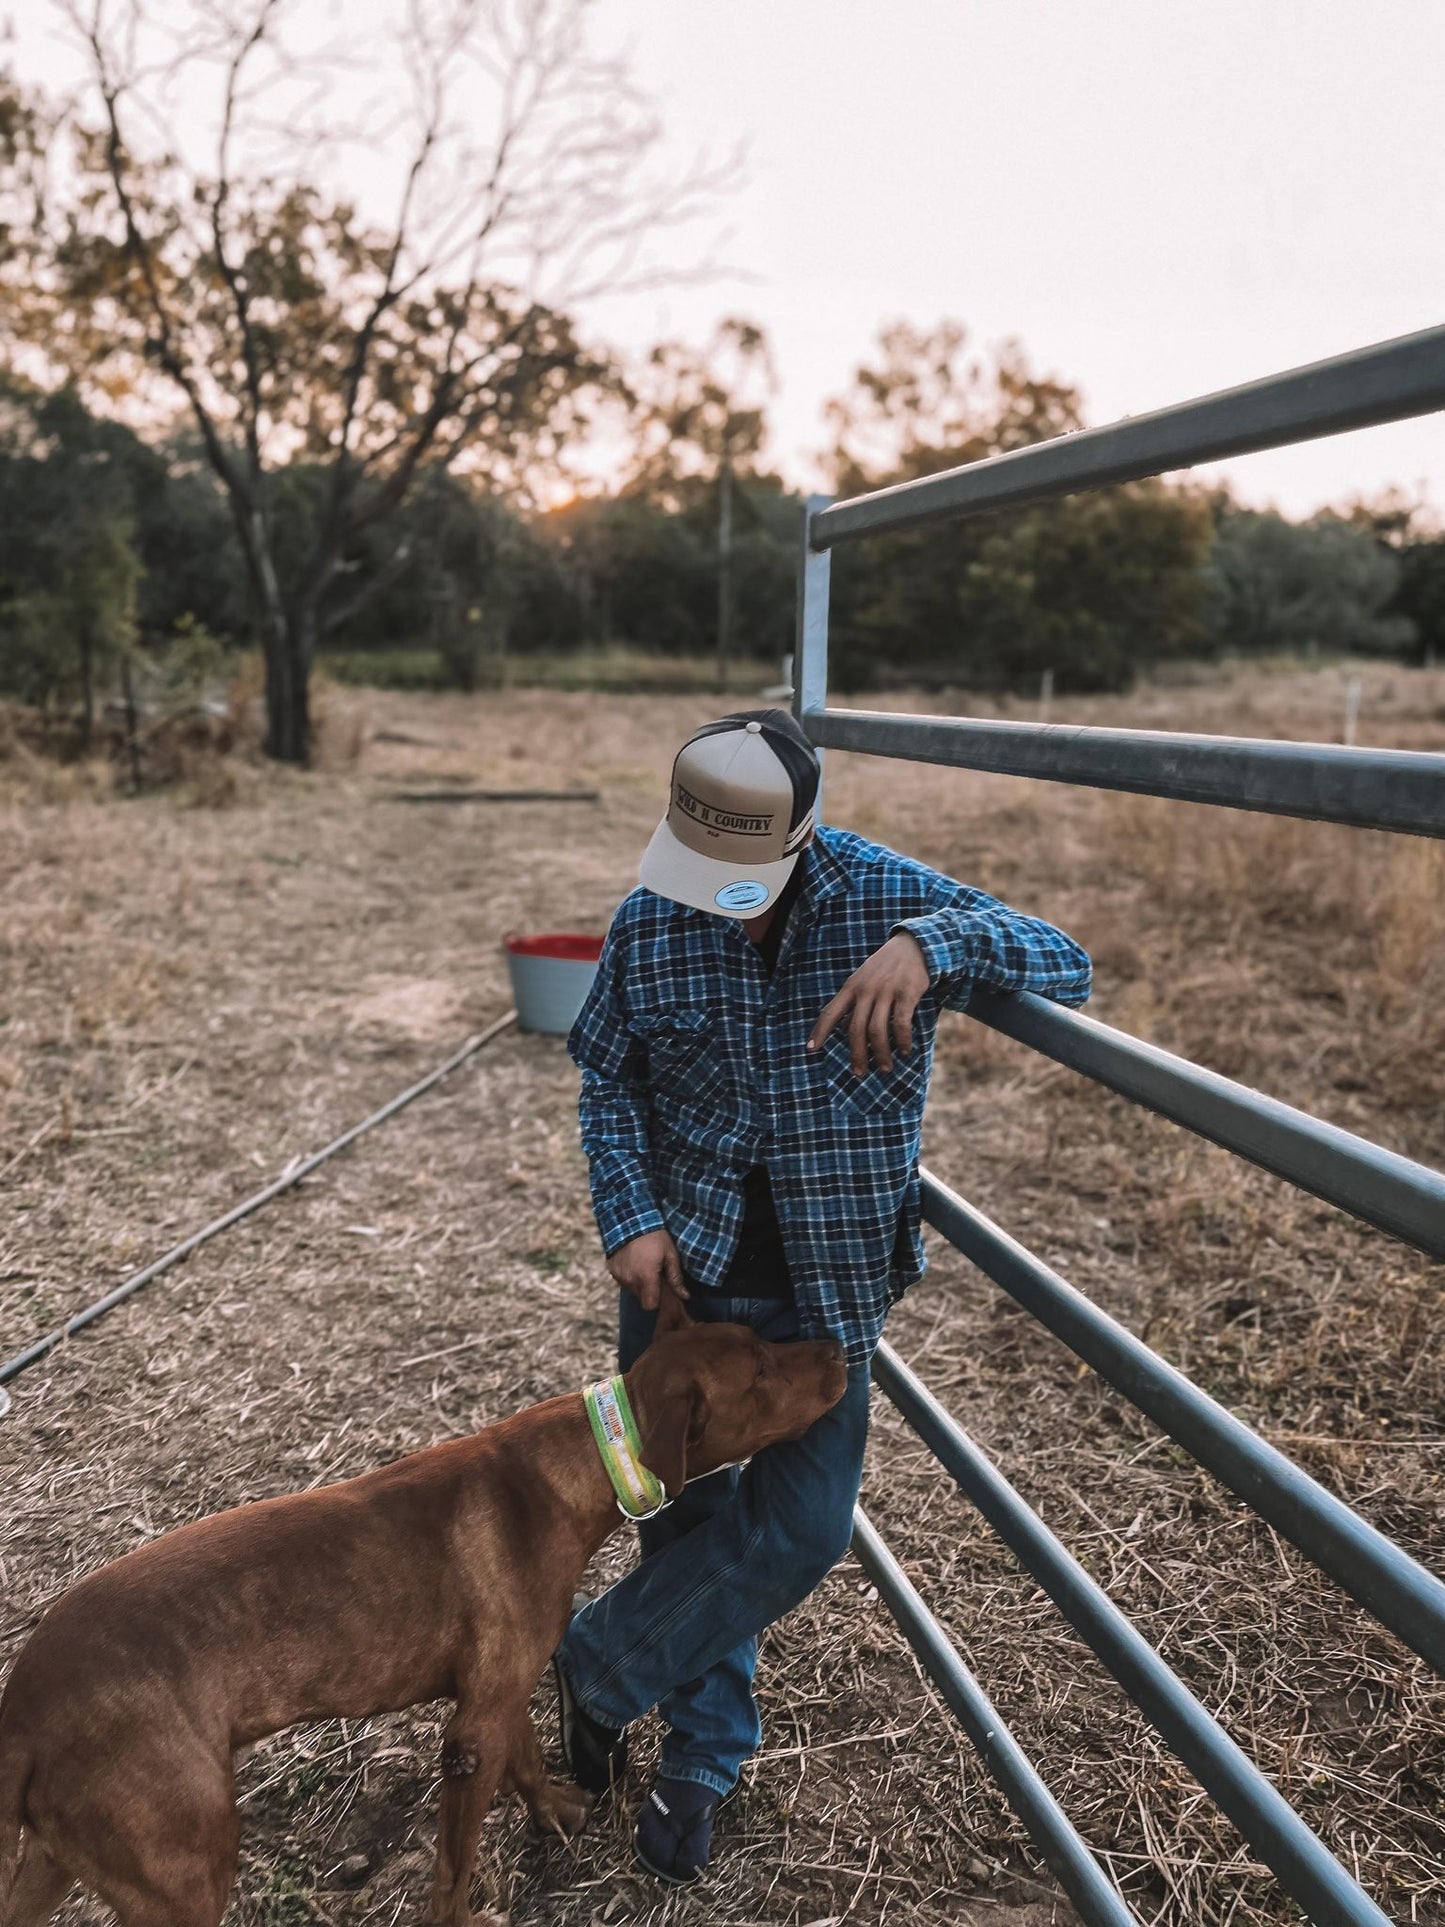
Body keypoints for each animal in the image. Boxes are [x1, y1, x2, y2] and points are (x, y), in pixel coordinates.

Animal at [0, 1294, 847, 1927]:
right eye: (761, 1370)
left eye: (764, 1341)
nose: (842, 1350)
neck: (581, 1460)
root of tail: (24, 1710)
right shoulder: (468, 1737)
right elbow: (454, 1861)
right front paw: (465, 1912)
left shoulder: (496, 1693)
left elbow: (527, 1755)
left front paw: (551, 1807)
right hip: (184, 1866)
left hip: (55, 1860)